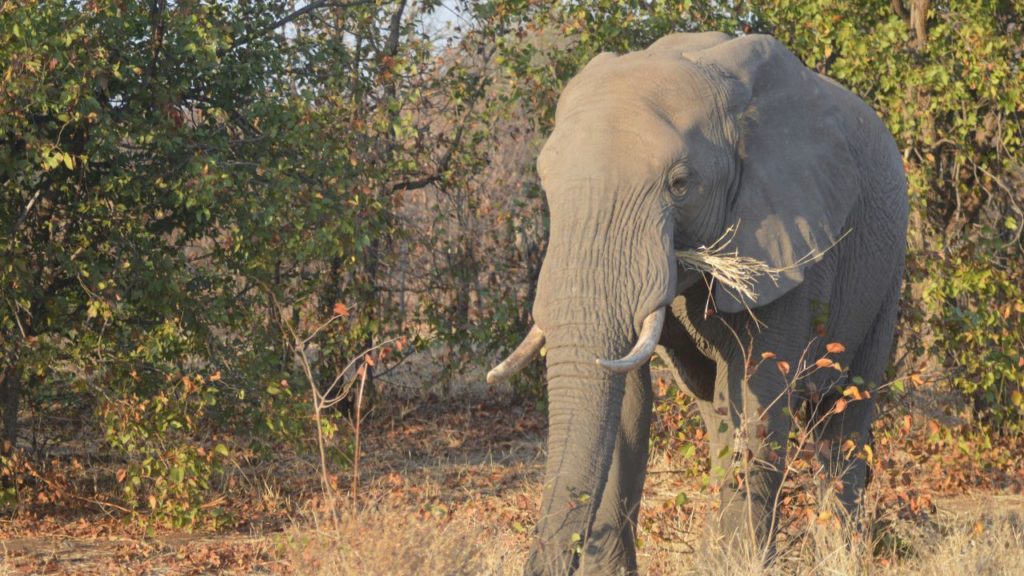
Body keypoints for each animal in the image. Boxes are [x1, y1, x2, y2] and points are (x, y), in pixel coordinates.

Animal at [487, 32, 905, 573]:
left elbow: (758, 396)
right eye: (545, 184)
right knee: (719, 413)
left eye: (679, 184)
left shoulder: (792, 240)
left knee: (846, 411)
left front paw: (744, 565)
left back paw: (842, 557)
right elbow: (627, 405)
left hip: (887, 268)